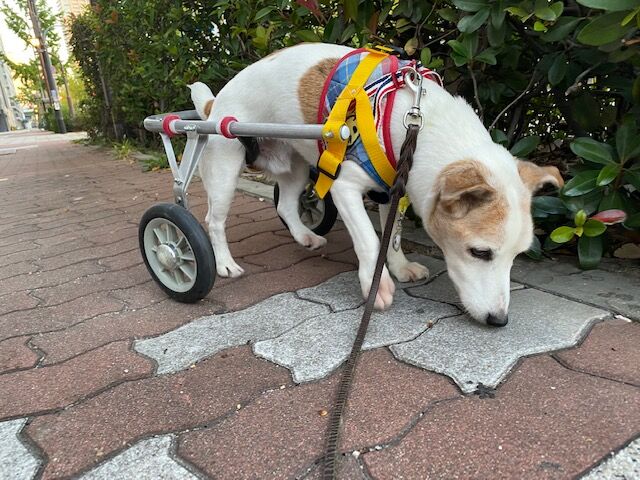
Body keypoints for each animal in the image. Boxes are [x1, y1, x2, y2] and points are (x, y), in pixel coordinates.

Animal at [189, 43, 563, 326]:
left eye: (518, 256)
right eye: (480, 253)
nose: (499, 320)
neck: (418, 125)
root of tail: (216, 100)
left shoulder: (393, 190)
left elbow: (390, 237)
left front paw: (398, 267)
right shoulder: (344, 187)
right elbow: (370, 240)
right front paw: (376, 283)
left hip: (294, 164)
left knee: (285, 204)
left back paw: (306, 237)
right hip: (225, 162)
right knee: (214, 220)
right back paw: (224, 263)